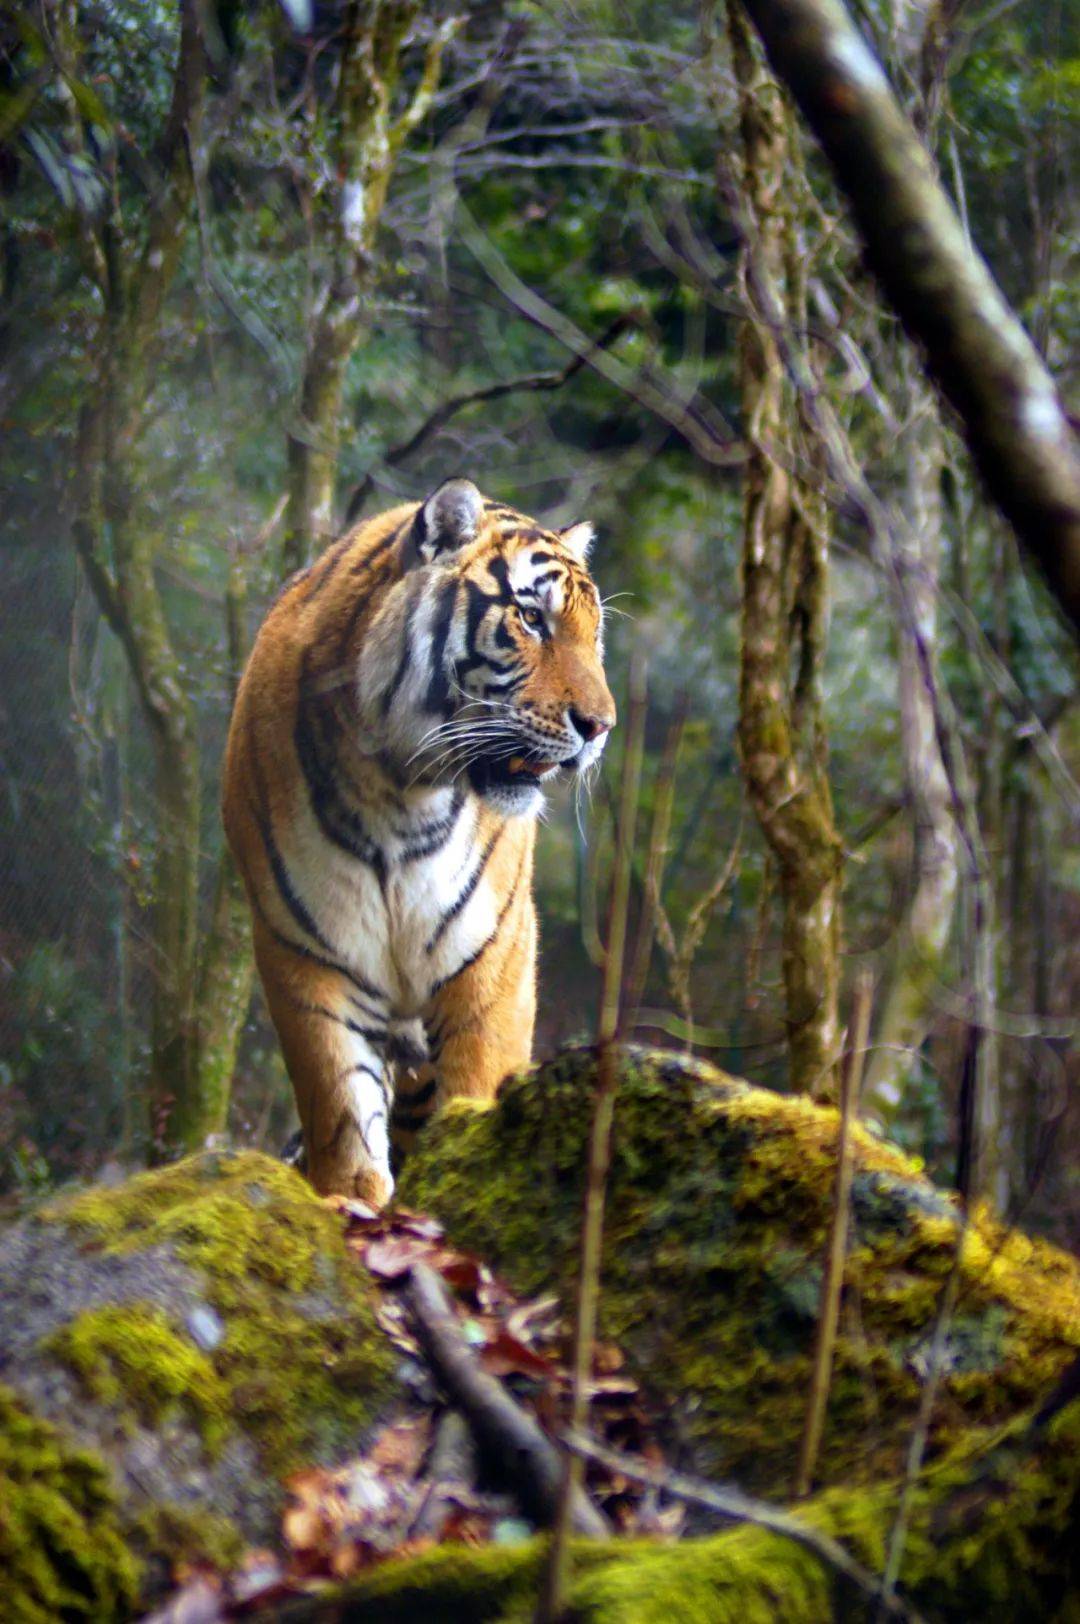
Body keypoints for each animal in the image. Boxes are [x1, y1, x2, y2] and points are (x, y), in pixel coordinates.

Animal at [222, 474, 613, 1214]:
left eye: (594, 634)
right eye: (532, 619)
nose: (601, 726)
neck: (398, 792)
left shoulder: (494, 956)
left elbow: (477, 1082)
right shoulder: (306, 952)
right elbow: (339, 1100)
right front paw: (352, 1200)